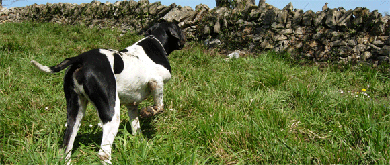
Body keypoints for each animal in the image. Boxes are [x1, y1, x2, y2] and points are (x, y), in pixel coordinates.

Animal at [30, 22, 186, 164]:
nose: (186, 40)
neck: (154, 42)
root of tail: (80, 58)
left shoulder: (132, 105)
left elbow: (136, 127)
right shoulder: (156, 82)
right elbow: (159, 107)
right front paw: (148, 111)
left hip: (75, 113)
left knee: (66, 146)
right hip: (111, 113)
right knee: (103, 153)